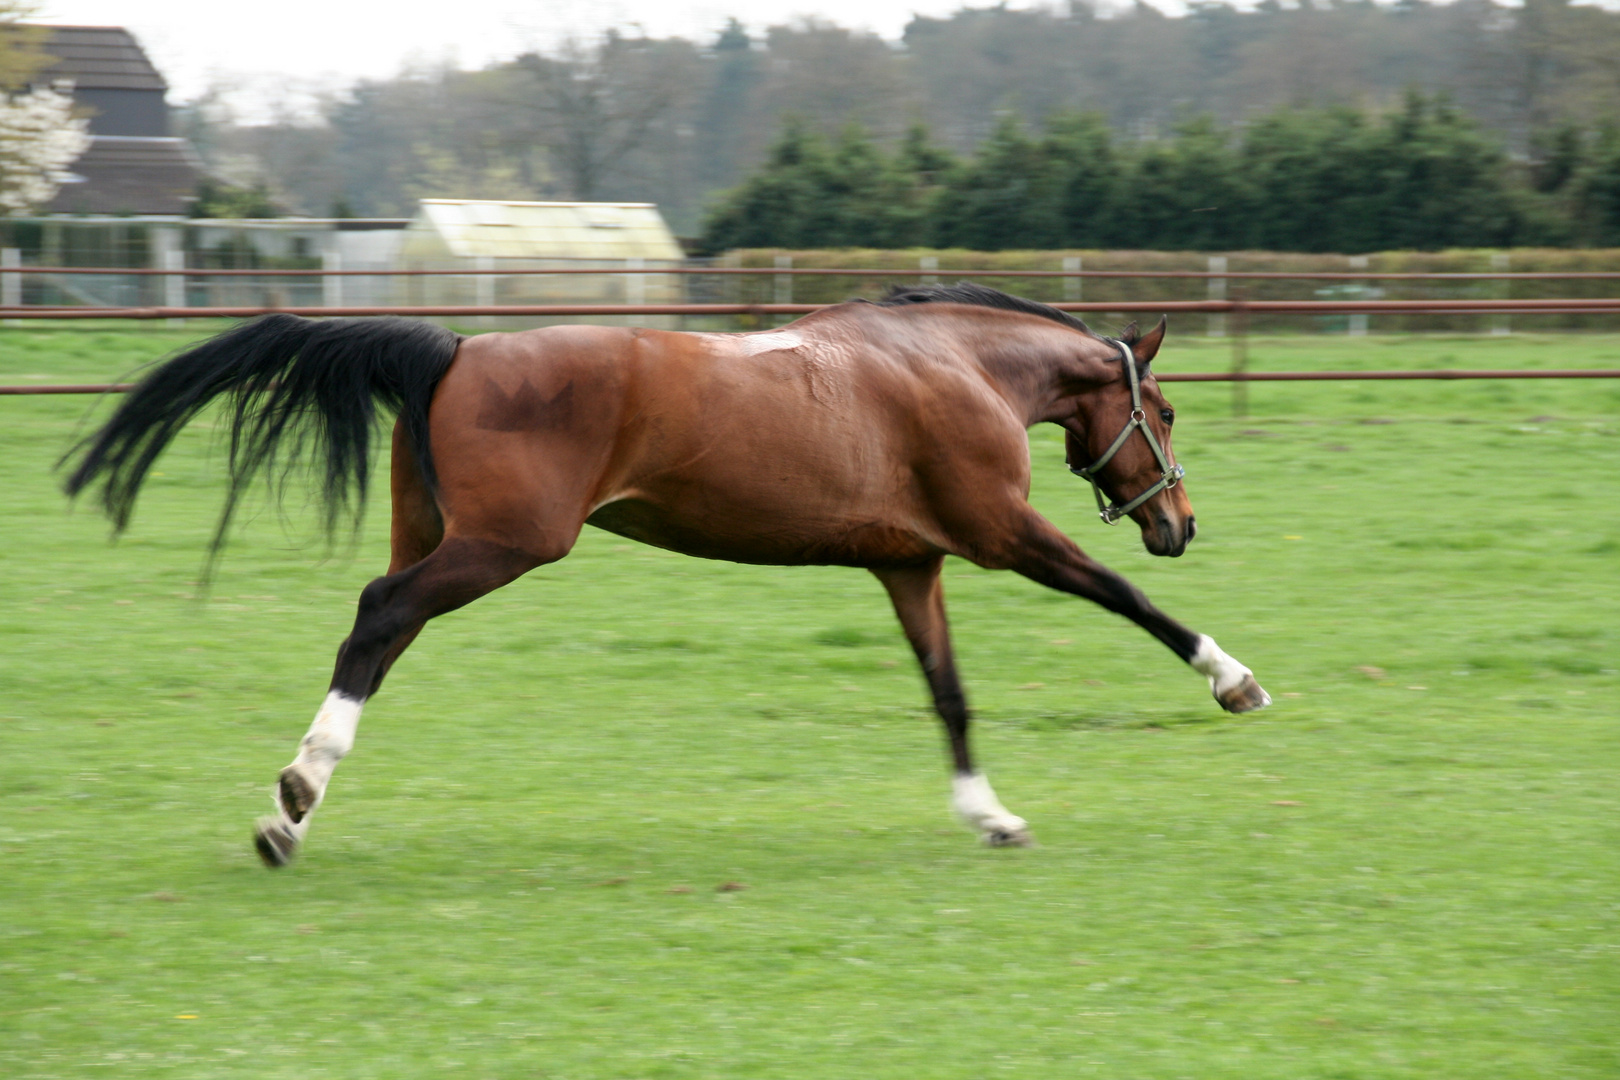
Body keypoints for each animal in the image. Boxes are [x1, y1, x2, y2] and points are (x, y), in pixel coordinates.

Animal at [66, 283, 1263, 867]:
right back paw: (295, 794)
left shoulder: (908, 563)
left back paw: (290, 819)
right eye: (1163, 412)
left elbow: (948, 692)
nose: (1181, 524)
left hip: (440, 537)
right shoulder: (999, 531)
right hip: (503, 545)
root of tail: (456, 351)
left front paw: (990, 818)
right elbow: (1125, 599)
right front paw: (1233, 679)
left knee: (381, 634)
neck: (950, 367)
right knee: (376, 617)